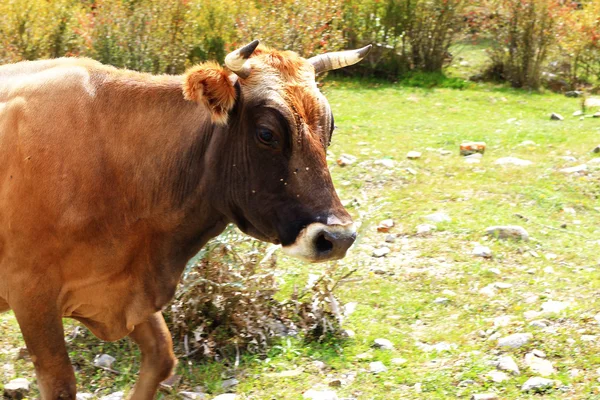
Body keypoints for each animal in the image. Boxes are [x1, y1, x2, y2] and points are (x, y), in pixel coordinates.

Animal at [0, 39, 370, 398]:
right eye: (267, 134)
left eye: (330, 128)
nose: (338, 238)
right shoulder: (31, 294)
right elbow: (60, 384)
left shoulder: (127, 290)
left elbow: (162, 357)